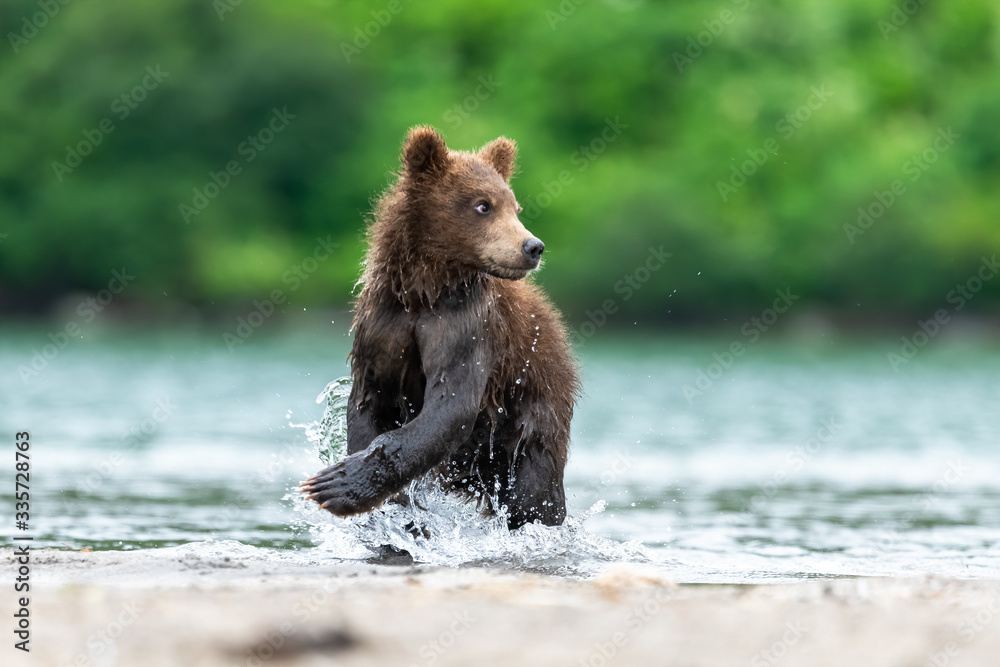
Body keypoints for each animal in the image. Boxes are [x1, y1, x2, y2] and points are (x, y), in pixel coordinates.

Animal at [302, 126, 579, 530]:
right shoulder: (384, 323)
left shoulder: (467, 324)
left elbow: (452, 403)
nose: (533, 246)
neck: (425, 289)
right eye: (483, 205)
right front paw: (390, 506)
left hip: (532, 416)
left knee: (535, 496)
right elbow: (370, 401)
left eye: (515, 207)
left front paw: (336, 486)